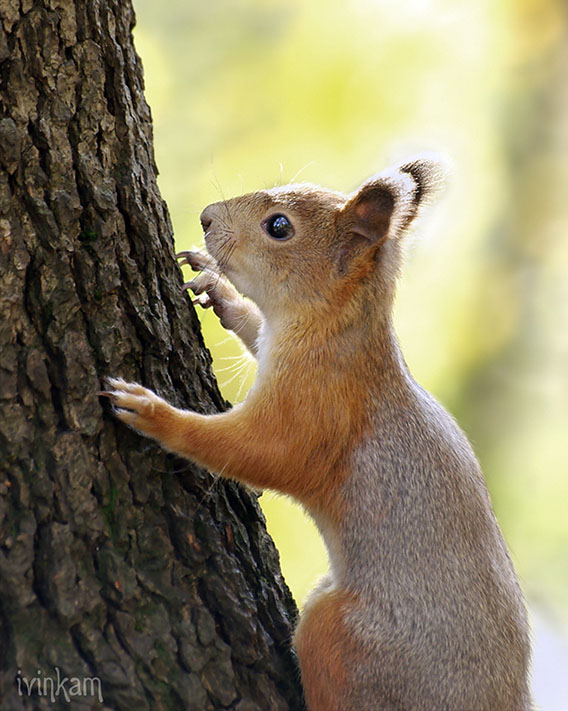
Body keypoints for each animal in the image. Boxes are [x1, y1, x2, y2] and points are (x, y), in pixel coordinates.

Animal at [101, 160, 532, 711]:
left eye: (279, 227)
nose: (205, 218)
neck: (334, 326)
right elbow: (253, 327)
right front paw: (216, 288)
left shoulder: (314, 408)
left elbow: (256, 451)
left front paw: (152, 413)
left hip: (341, 636)